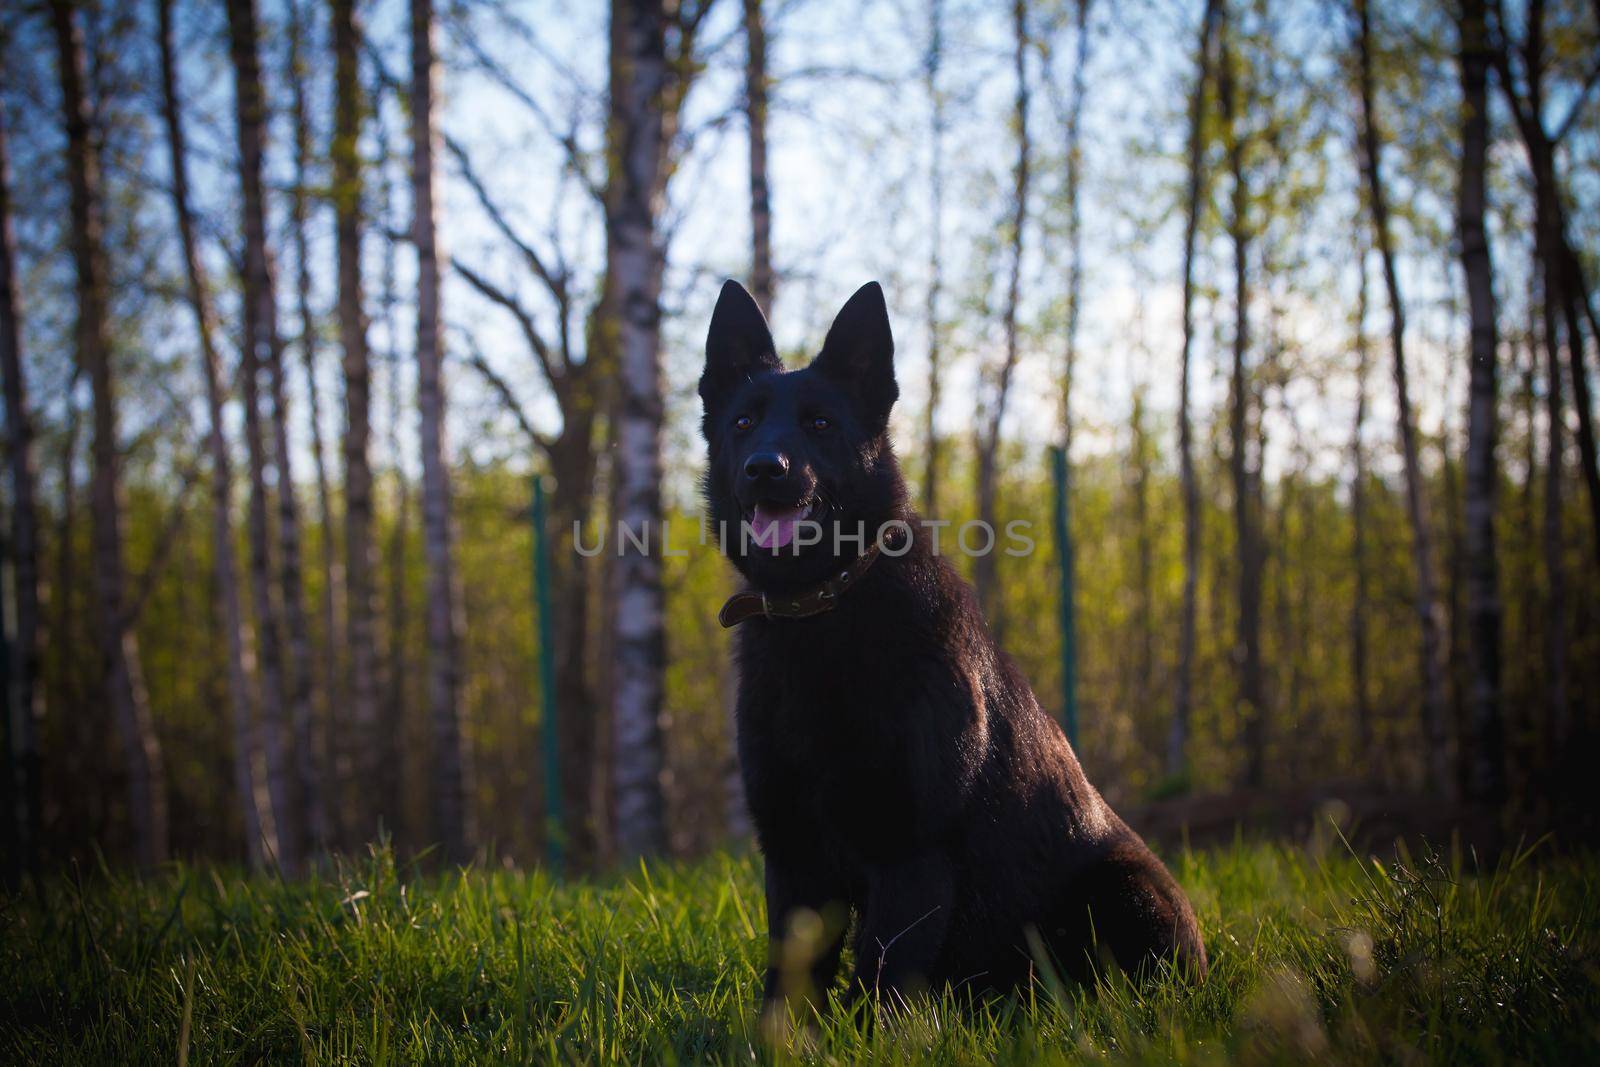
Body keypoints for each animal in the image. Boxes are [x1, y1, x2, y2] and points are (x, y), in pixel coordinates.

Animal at [700, 278, 1203, 1011]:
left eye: (820, 424)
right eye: (743, 424)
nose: (767, 468)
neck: (825, 609)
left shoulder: (910, 852)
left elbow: (882, 985)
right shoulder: (794, 856)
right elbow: (790, 989)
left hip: (1125, 887)